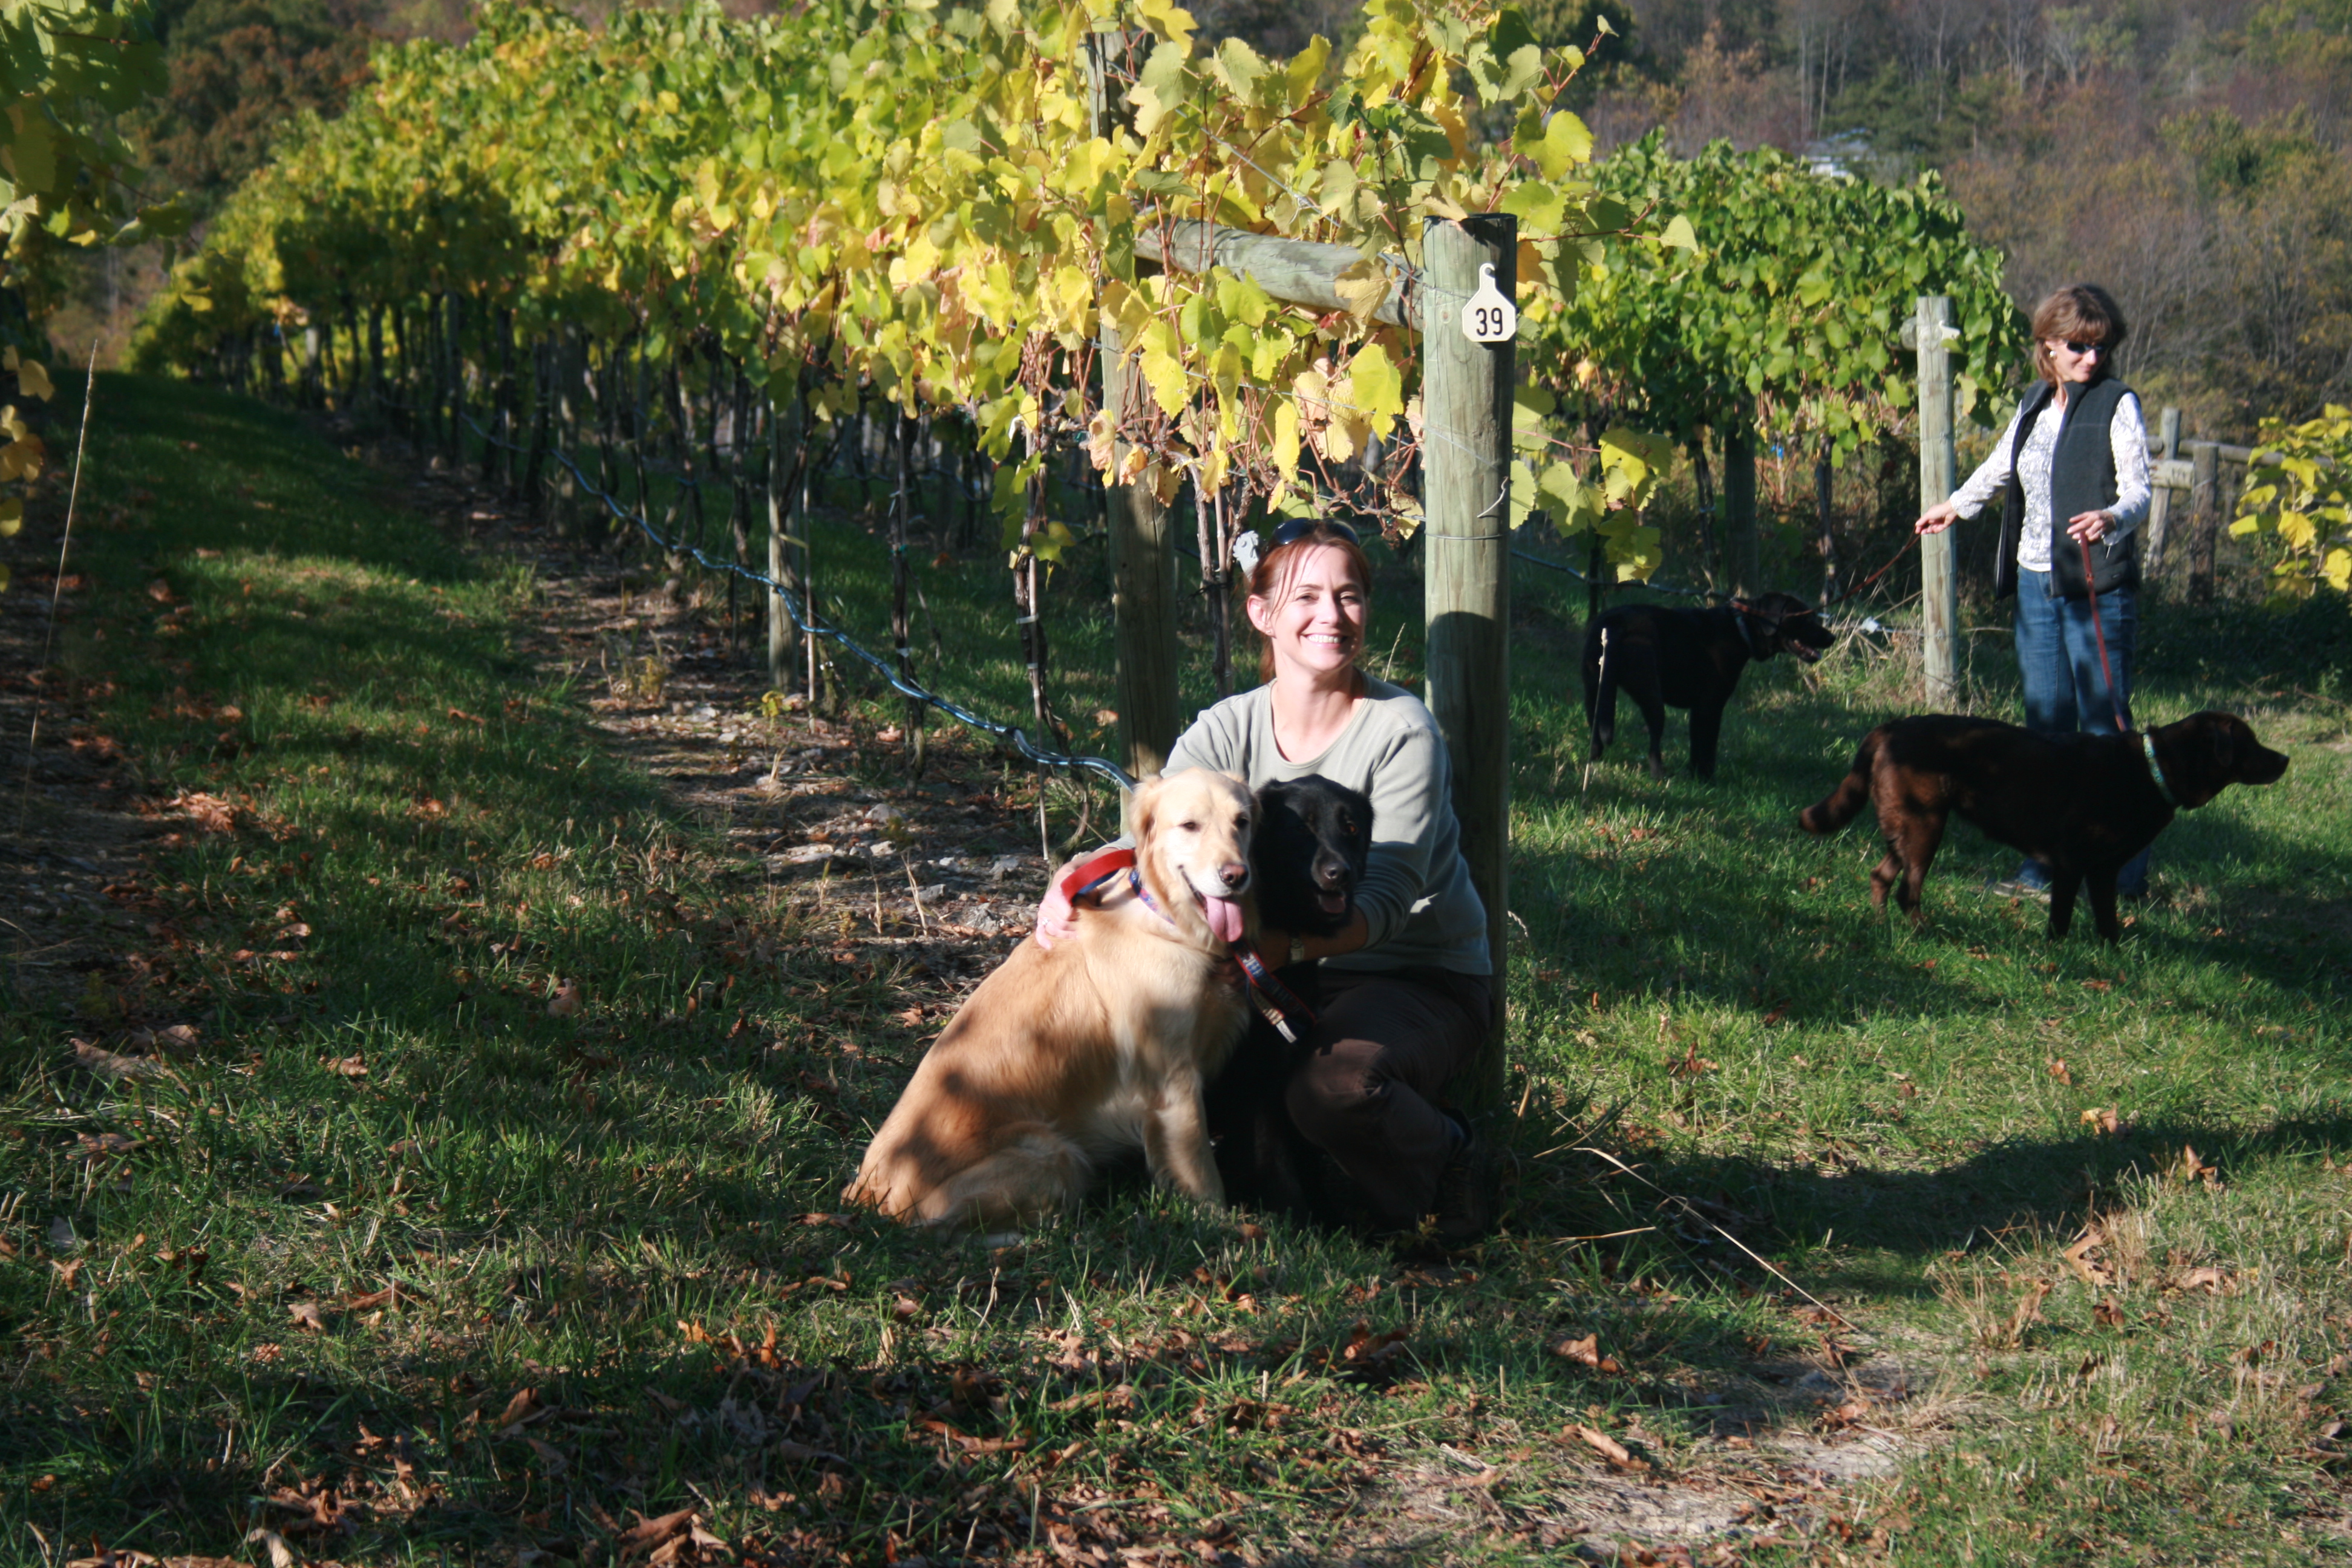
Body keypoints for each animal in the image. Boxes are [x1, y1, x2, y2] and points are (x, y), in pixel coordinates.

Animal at [844, 769, 1257, 1227]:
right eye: (1190, 825)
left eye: (1242, 822)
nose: (1236, 875)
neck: (1167, 918)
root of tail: (865, 1193)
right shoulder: (1172, 1079)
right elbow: (1201, 1174)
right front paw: (1224, 1227)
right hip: (1053, 1153)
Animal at [1204, 775, 1374, 1223]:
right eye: (1301, 827)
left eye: (1351, 827)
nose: (1340, 874)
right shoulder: (1252, 1073)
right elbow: (1271, 1157)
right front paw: (1292, 1219)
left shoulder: (1284, 1061)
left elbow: (1302, 1156)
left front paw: (1325, 1219)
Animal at [1583, 592, 1834, 778]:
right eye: (1806, 619)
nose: (1832, 638)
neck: (1740, 628)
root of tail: (1614, 623)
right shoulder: (1711, 706)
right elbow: (1708, 747)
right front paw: (1707, 780)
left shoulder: (1699, 709)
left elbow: (1696, 746)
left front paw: (1694, 777)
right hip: (1651, 696)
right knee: (1654, 744)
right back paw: (1660, 775)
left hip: (1595, 691)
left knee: (1596, 734)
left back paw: (1595, 761)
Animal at [1799, 711, 2289, 943]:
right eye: (2250, 743)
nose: (2285, 759)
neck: (2153, 768)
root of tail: (1889, 727)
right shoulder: (2072, 863)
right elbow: (2061, 918)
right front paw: (2059, 956)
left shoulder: (2104, 871)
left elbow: (2108, 920)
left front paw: (2112, 955)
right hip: (1925, 826)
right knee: (1907, 890)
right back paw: (1923, 933)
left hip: (1907, 827)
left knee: (1881, 876)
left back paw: (1882, 927)